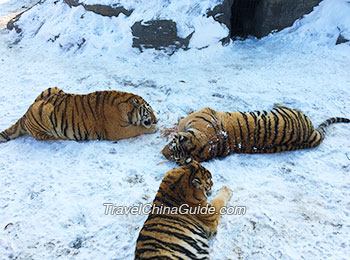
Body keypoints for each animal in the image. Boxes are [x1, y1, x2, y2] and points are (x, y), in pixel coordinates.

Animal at [0, 88, 157, 143]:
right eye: (149, 110)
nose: (156, 120)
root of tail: (25, 114)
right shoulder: (117, 131)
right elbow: (137, 128)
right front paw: (153, 128)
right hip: (45, 113)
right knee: (49, 137)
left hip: (52, 90)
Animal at [161, 104, 350, 164]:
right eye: (175, 159)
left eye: (173, 147)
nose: (162, 153)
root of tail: (310, 135)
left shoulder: (202, 112)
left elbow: (184, 119)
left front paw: (174, 126)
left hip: (293, 112)